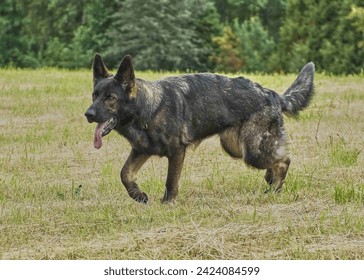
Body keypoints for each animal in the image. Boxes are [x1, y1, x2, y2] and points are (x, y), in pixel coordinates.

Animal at [84, 54, 314, 203]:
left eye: (110, 98)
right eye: (94, 95)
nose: (88, 114)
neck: (148, 108)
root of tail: (273, 94)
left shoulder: (176, 152)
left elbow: (171, 181)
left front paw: (167, 203)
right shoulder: (142, 150)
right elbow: (125, 173)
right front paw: (137, 195)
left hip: (252, 151)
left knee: (284, 160)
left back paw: (275, 188)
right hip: (235, 146)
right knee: (275, 159)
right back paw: (270, 180)